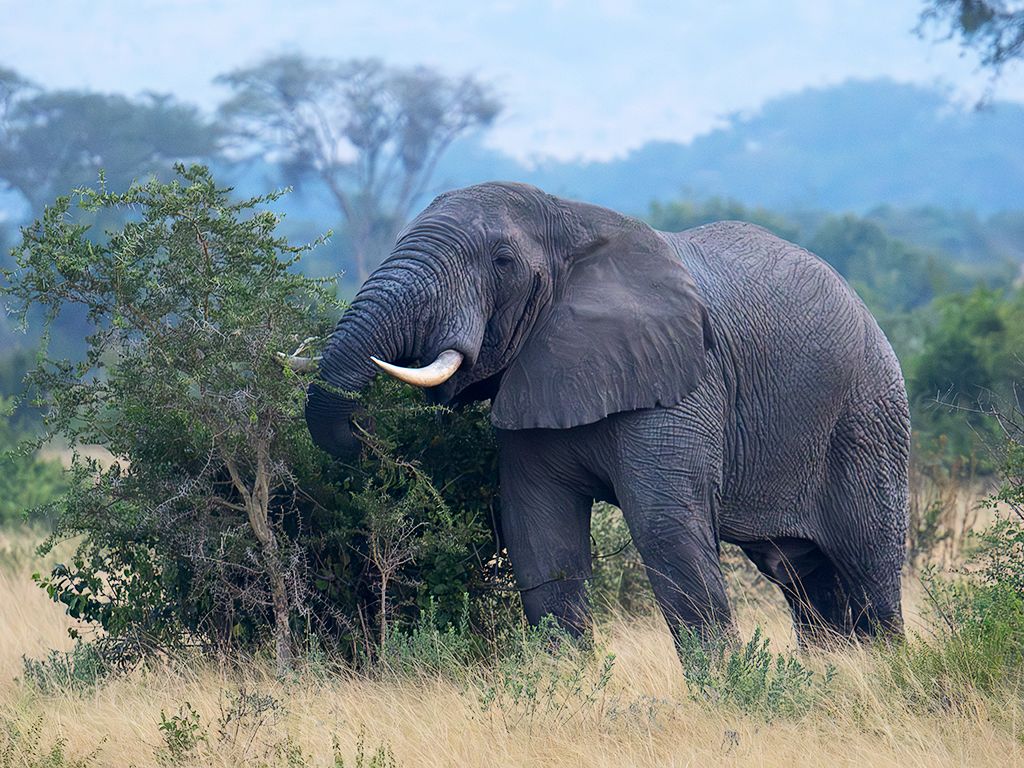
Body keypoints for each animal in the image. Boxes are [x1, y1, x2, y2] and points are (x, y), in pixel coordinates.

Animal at [303, 181, 910, 646]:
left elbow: (665, 528)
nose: (367, 435)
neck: (570, 219)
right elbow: (538, 536)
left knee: (869, 568)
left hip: (869, 418)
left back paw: (887, 673)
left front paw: (729, 695)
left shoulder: (684, 378)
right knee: (805, 579)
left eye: (502, 262)